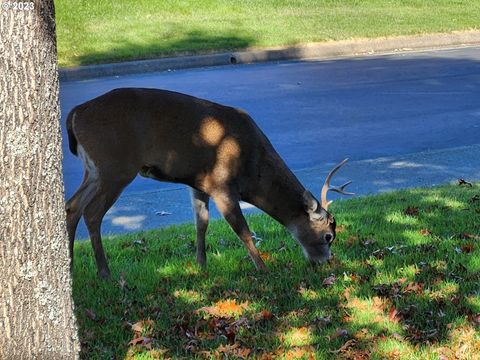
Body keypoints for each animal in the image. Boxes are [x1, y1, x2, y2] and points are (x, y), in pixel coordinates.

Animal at [64, 87, 352, 278]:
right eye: (328, 236)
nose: (325, 262)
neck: (252, 168)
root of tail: (75, 113)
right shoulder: (221, 183)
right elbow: (242, 230)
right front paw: (263, 268)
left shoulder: (197, 183)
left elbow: (201, 223)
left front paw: (201, 266)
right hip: (115, 165)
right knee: (92, 212)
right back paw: (104, 272)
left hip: (94, 169)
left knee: (72, 206)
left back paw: (70, 264)